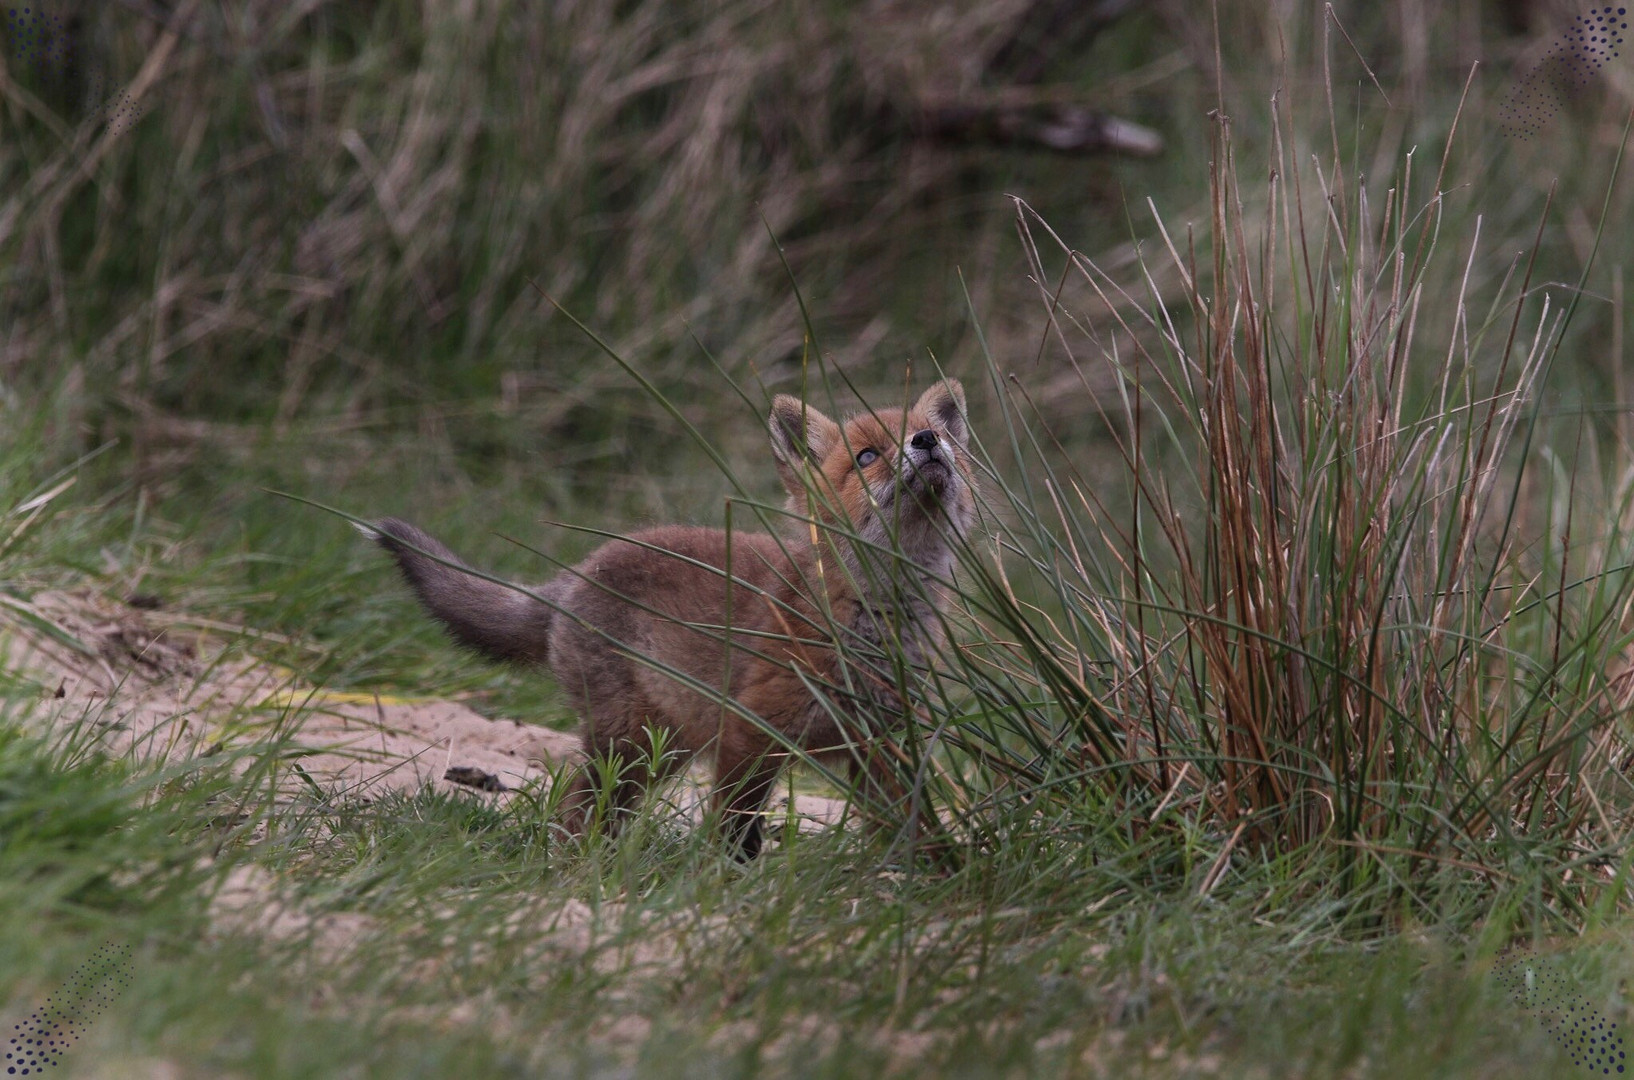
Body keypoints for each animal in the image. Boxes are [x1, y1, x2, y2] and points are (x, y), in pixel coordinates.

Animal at [369, 380, 973, 856]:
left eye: (930, 433)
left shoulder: (887, 743)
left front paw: (929, 878)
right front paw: (727, 885)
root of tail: (577, 572)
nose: (928, 441)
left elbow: (910, 827)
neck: (872, 623)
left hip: (666, 747)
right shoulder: (748, 734)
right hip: (631, 743)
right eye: (867, 457)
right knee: (575, 807)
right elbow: (735, 828)